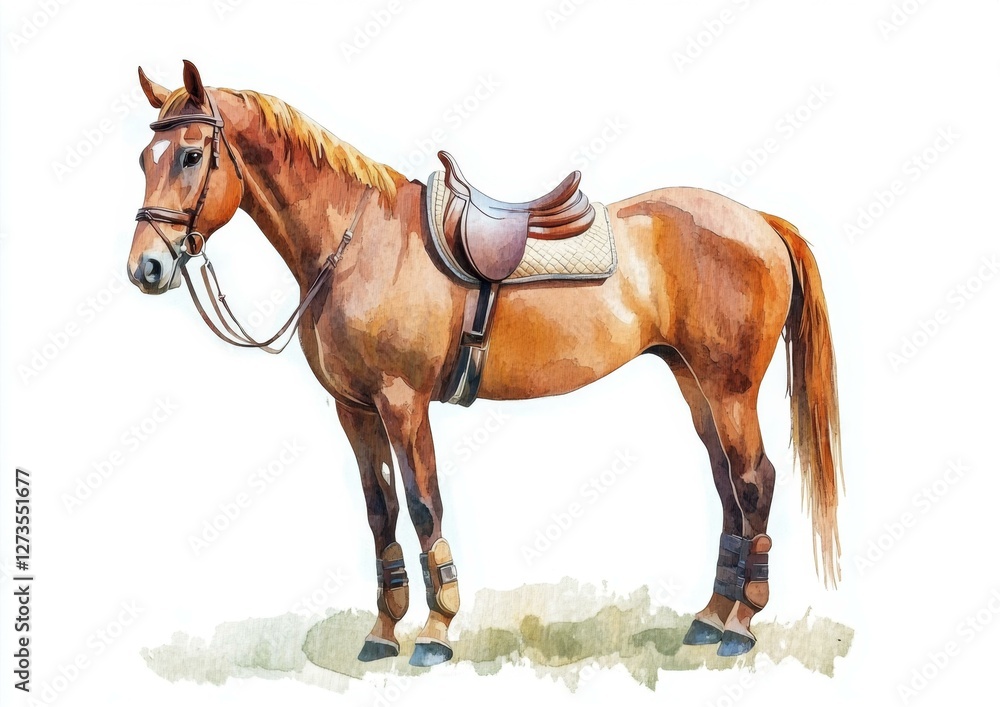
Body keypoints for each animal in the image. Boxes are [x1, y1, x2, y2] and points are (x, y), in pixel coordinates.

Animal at [126, 61, 842, 666]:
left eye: (191, 155)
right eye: (143, 158)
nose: (147, 268)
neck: (361, 243)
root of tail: (760, 222)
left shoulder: (402, 401)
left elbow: (423, 505)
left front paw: (435, 630)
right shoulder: (354, 408)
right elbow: (379, 509)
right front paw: (382, 631)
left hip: (730, 389)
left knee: (754, 480)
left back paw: (741, 624)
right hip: (694, 383)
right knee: (727, 485)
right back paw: (710, 616)